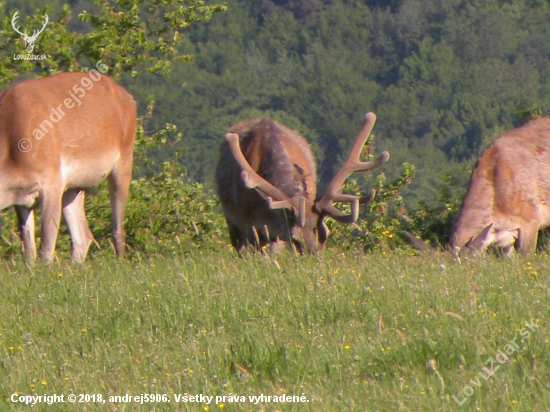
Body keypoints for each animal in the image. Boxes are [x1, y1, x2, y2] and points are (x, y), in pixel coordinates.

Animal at [0, 70, 137, 260]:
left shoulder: (51, 183)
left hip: (123, 161)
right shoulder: (21, 200)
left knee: (118, 229)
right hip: (73, 187)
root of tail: (128, 98)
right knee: (83, 236)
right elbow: (29, 252)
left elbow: (46, 248)